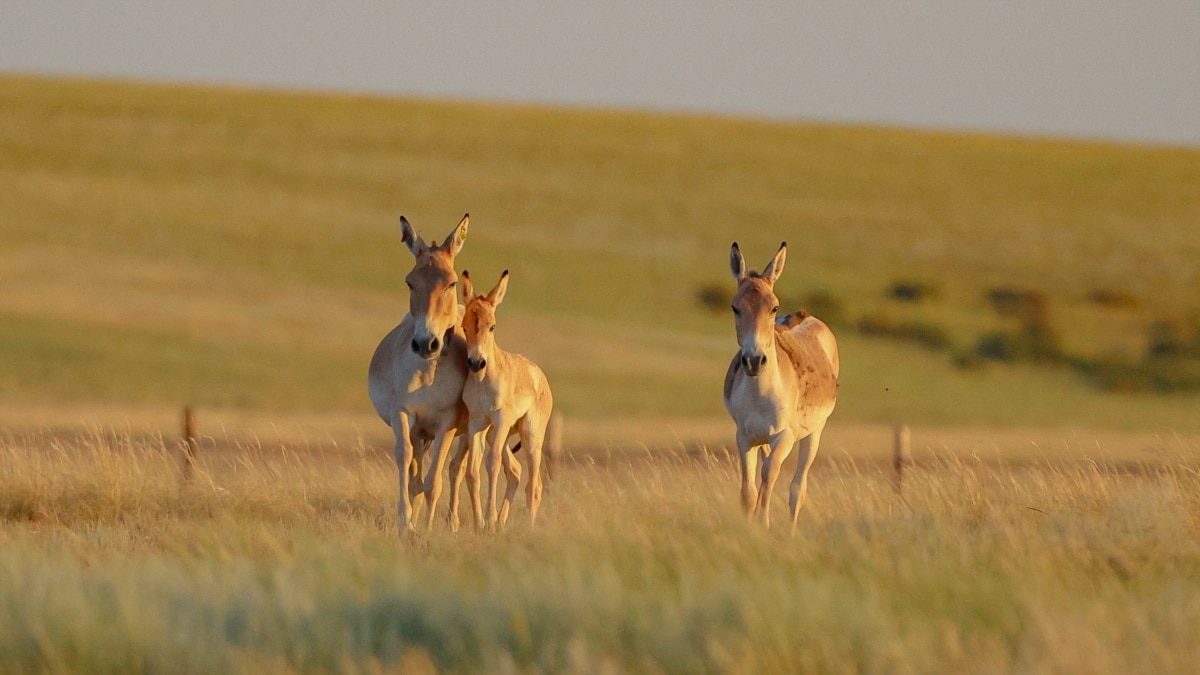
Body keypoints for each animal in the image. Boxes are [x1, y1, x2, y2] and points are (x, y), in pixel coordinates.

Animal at [458, 270, 552, 528]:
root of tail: (539, 375)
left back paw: (527, 527)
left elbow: (492, 463)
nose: (476, 363)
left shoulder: (499, 420)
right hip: (496, 434)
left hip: (531, 437)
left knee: (534, 486)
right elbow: (472, 470)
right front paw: (480, 523)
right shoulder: (477, 424)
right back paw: (501, 523)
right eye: (465, 327)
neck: (485, 379)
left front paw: (488, 519)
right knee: (516, 472)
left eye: (492, 326)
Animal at [720, 241, 844, 530]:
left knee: (798, 488)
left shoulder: (785, 436)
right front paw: (751, 525)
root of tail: (806, 315)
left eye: (773, 308)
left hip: (814, 433)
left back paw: (790, 532)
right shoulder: (744, 436)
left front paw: (763, 523)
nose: (754, 361)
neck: (760, 396)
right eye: (734, 307)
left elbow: (770, 477)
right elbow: (749, 490)